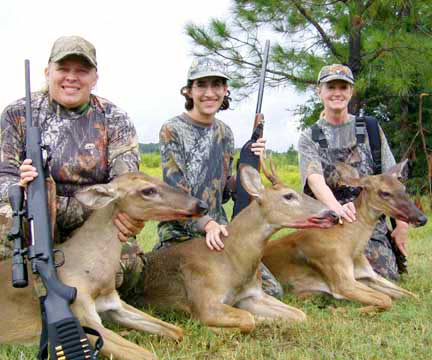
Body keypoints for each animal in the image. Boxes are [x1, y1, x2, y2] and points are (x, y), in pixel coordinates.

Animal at [0, 171, 208, 360]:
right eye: (147, 190)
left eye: (159, 180)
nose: (202, 205)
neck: (91, 273)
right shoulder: (82, 314)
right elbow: (147, 355)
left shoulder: (114, 303)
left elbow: (177, 331)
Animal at [122, 162, 340, 334]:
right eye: (288, 196)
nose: (332, 214)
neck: (233, 259)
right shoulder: (204, 301)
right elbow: (248, 319)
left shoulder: (252, 295)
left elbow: (300, 314)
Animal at [262, 161, 426, 312]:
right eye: (384, 192)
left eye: (403, 188)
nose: (422, 218)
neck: (351, 246)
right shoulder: (340, 279)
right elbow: (386, 299)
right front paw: (337, 309)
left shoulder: (369, 275)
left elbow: (414, 296)